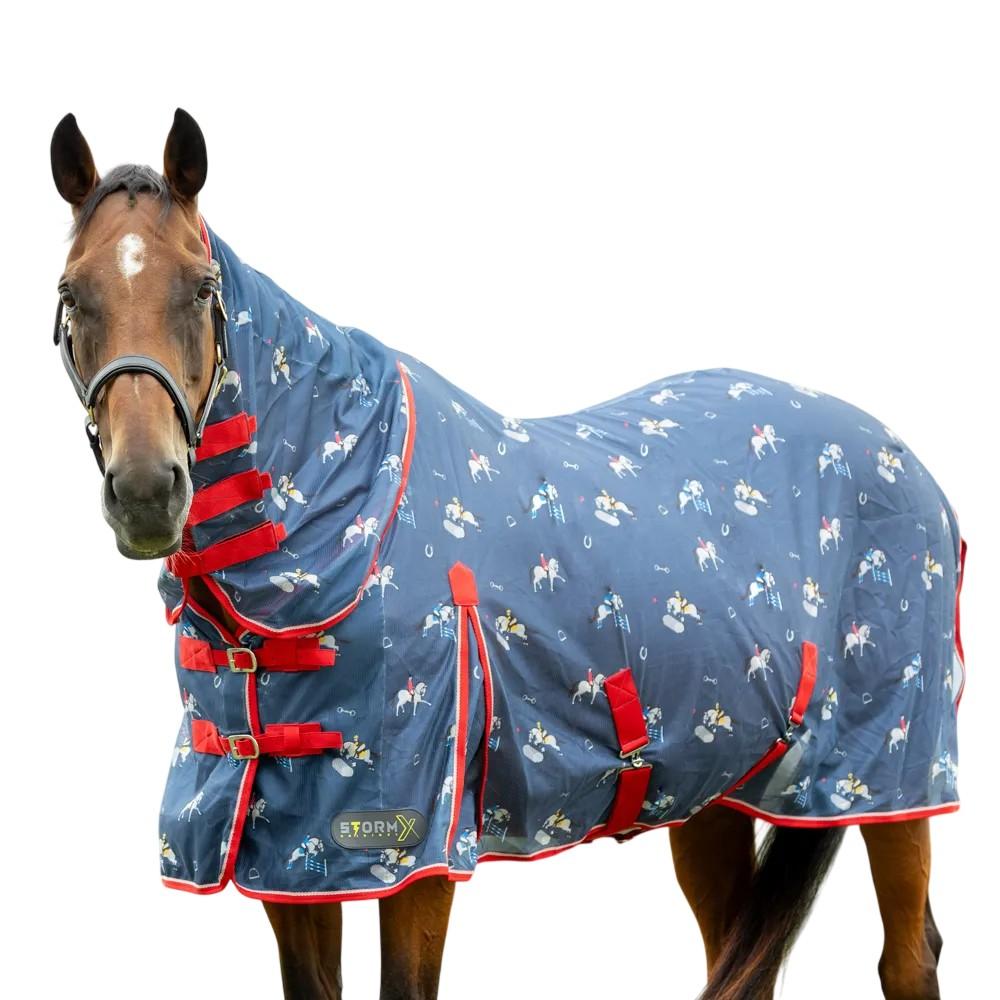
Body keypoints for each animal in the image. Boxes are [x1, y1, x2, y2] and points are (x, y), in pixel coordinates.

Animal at [49, 108, 965, 999]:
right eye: (71, 293)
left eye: (201, 288)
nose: (146, 490)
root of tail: (906, 462)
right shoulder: (290, 859)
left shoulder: (411, 851)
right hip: (714, 786)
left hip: (896, 775)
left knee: (907, 958)